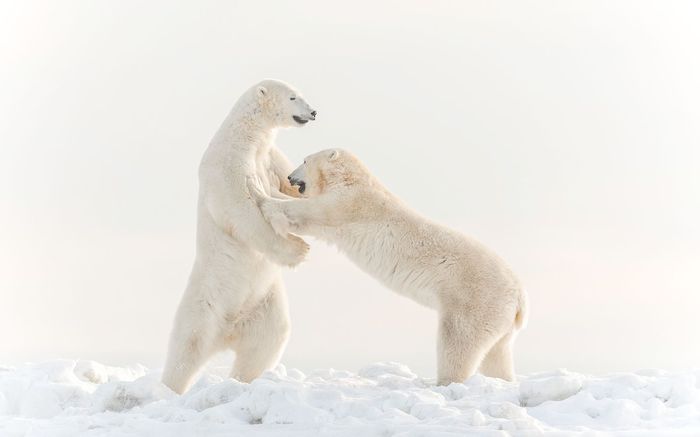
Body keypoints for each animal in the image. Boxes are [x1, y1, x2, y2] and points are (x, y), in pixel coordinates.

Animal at [161, 80, 317, 394]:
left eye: (301, 94)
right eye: (293, 97)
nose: (313, 111)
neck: (248, 135)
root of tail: (229, 330)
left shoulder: (270, 157)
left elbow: (289, 188)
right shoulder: (229, 162)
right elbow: (241, 210)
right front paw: (298, 250)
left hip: (264, 307)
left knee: (267, 343)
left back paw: (244, 381)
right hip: (203, 307)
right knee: (186, 350)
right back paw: (167, 390)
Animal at [248, 148, 528, 385]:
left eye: (305, 160)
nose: (289, 176)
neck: (353, 179)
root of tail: (518, 296)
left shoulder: (349, 204)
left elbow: (307, 211)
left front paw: (262, 191)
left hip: (474, 300)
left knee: (457, 342)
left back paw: (446, 382)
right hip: (500, 320)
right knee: (497, 353)